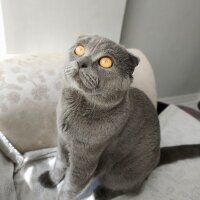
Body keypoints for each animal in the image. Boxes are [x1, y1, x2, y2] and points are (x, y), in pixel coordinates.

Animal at [38, 35, 200, 199]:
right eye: (79, 49)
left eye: (106, 62)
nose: (81, 62)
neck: (76, 106)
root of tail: (158, 157)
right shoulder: (62, 141)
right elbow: (59, 164)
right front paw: (50, 180)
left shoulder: (85, 160)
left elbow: (70, 185)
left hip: (122, 173)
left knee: (133, 189)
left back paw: (101, 193)